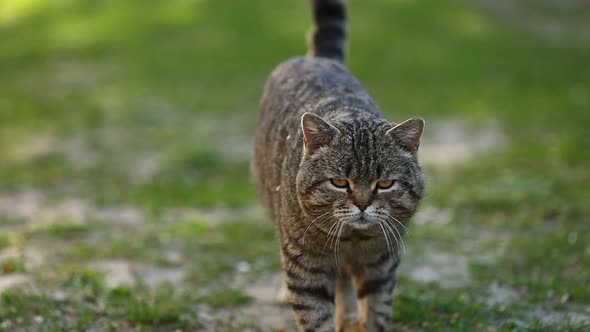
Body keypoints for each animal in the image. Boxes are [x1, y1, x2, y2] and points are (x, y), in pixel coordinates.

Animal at [252, 1, 428, 330]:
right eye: (339, 182)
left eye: (385, 184)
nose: (361, 204)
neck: (352, 239)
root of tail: (319, 59)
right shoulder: (305, 268)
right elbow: (316, 316)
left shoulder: (382, 262)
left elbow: (376, 311)